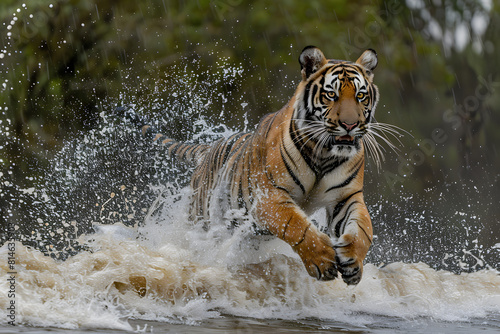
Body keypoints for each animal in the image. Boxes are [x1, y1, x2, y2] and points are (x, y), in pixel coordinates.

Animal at [121, 45, 398, 284]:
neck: (324, 154)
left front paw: (352, 260)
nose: (350, 125)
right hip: (200, 218)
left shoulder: (346, 197)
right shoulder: (270, 198)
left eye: (361, 96)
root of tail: (209, 148)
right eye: (332, 94)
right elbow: (297, 227)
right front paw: (321, 260)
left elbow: (363, 228)